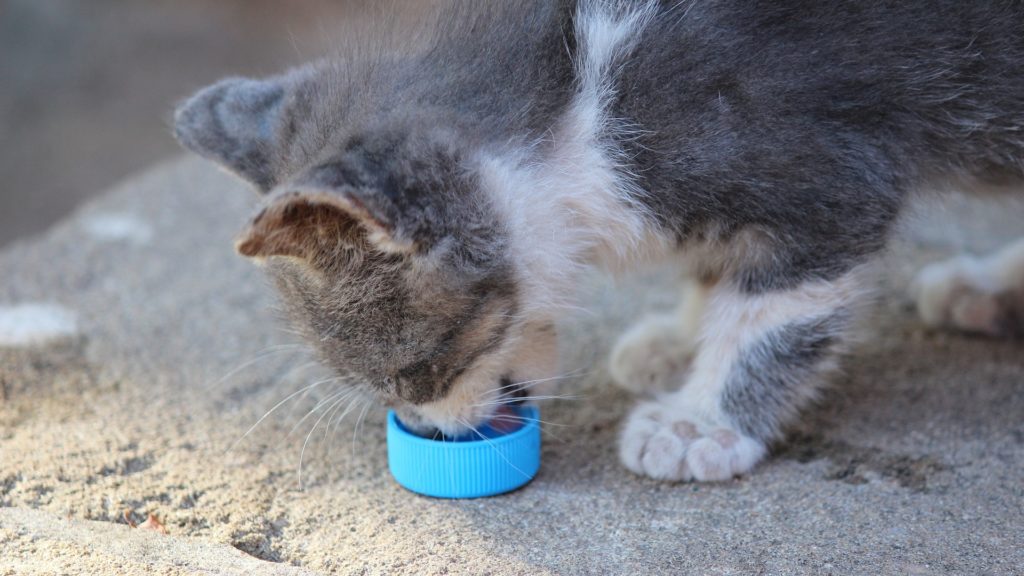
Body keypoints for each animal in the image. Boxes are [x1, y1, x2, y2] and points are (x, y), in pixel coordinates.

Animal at [174, 1, 1024, 479]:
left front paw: (700, 419)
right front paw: (681, 341)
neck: (584, 104)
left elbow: (772, 313)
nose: (432, 431)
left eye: (415, 371)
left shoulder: (827, 175)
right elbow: (717, 263)